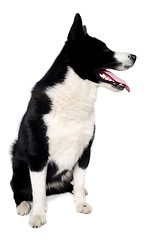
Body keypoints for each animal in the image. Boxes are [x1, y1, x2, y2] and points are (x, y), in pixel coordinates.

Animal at [10, 13, 137, 227]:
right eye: (104, 49)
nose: (134, 56)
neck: (73, 96)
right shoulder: (37, 155)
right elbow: (37, 191)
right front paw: (38, 215)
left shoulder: (85, 151)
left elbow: (79, 182)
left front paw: (81, 204)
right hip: (18, 165)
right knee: (19, 189)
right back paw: (24, 206)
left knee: (67, 185)